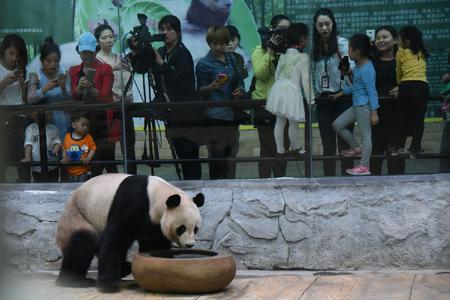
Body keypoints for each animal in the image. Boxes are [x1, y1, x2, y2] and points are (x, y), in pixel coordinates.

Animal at [54, 173, 206, 292]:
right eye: (182, 228)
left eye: (195, 228)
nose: (190, 245)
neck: (156, 195)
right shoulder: (131, 204)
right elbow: (114, 240)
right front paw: (109, 284)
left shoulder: (153, 223)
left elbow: (154, 244)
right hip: (78, 217)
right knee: (82, 245)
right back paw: (73, 281)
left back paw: (125, 268)